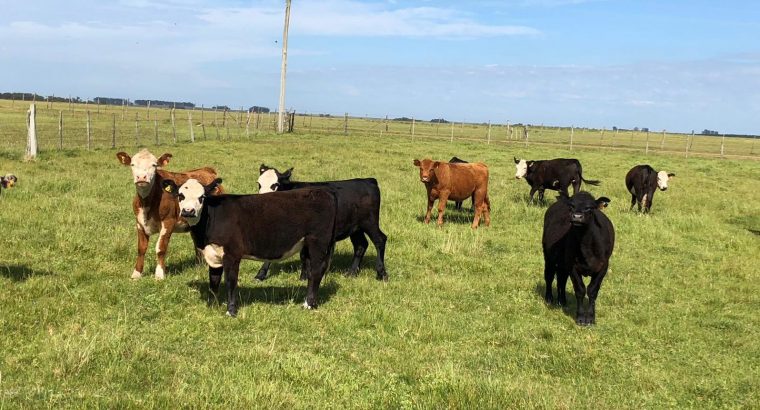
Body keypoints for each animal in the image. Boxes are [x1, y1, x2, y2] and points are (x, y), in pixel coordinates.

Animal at [163, 178, 338, 316]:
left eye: (202, 197)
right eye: (180, 195)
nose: (188, 211)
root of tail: (323, 191)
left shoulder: (232, 254)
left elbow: (230, 281)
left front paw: (231, 311)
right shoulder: (213, 253)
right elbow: (213, 280)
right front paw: (211, 305)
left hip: (318, 242)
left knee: (316, 271)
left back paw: (308, 304)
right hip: (307, 244)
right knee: (312, 270)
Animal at [256, 163, 388, 282]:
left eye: (275, 185)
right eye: (259, 184)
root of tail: (368, 180)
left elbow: (304, 256)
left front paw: (304, 276)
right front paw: (260, 275)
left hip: (370, 222)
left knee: (380, 240)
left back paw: (381, 274)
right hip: (355, 227)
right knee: (360, 245)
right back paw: (351, 273)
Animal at [544, 191, 616, 326]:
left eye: (590, 208)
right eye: (571, 206)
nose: (577, 217)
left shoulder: (603, 267)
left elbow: (593, 291)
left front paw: (591, 318)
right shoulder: (573, 267)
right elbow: (580, 290)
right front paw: (581, 317)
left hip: (563, 264)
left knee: (561, 279)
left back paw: (562, 301)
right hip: (548, 258)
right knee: (549, 277)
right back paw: (549, 298)